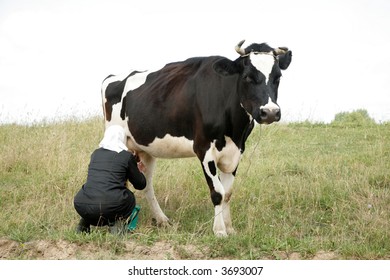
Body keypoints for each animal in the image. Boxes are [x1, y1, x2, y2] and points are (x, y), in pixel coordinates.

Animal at [101, 40, 292, 236]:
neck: (233, 130)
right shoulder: (204, 148)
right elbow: (218, 192)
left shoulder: (236, 151)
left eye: (278, 77)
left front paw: (229, 227)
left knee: (146, 184)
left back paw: (162, 220)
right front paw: (219, 230)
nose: (270, 112)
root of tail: (113, 77)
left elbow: (228, 193)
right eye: (247, 77)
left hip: (145, 149)